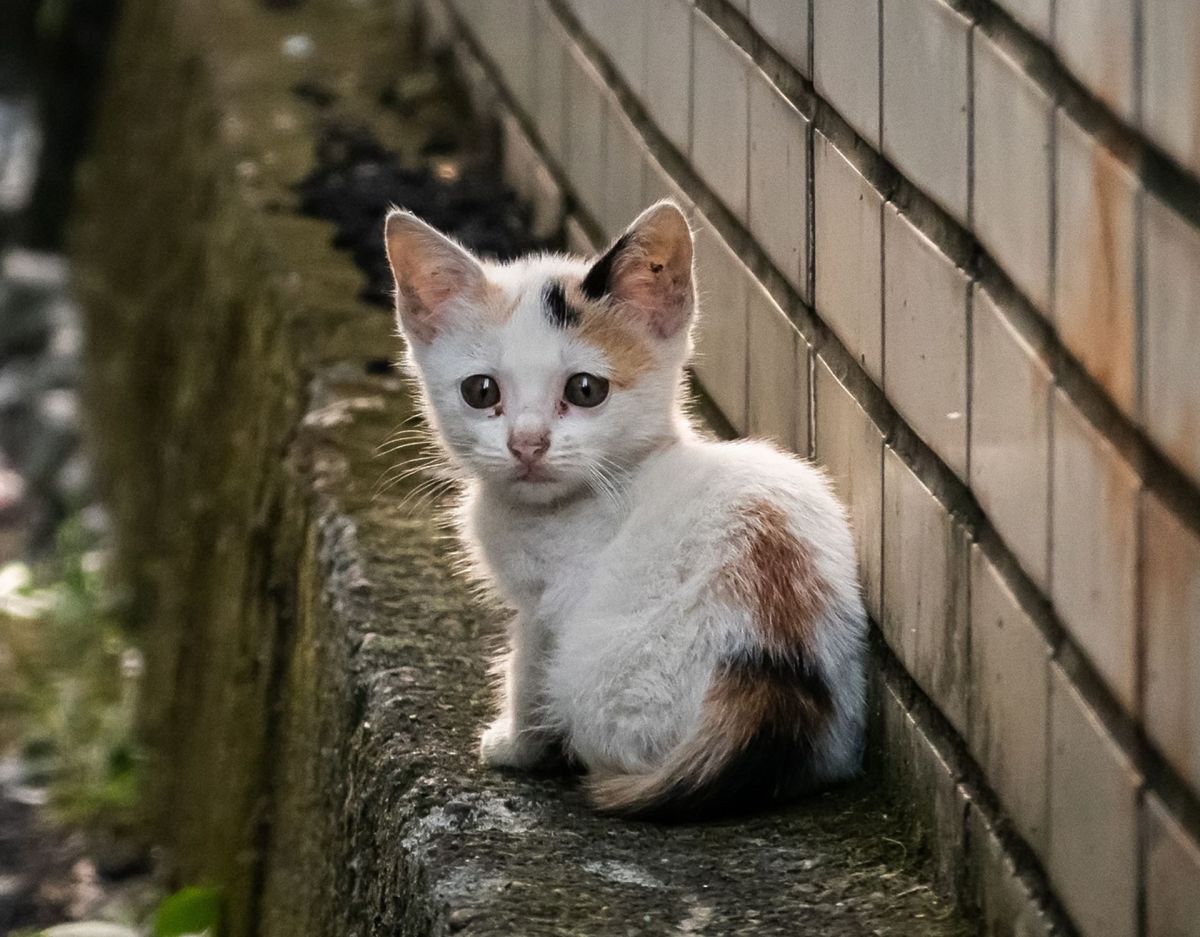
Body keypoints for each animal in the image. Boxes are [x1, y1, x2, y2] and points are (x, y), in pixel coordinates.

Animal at [381, 201, 864, 815]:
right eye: (480, 391)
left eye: (586, 390)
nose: (527, 444)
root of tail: (768, 686)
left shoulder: (548, 605)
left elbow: (526, 666)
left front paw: (514, 744)